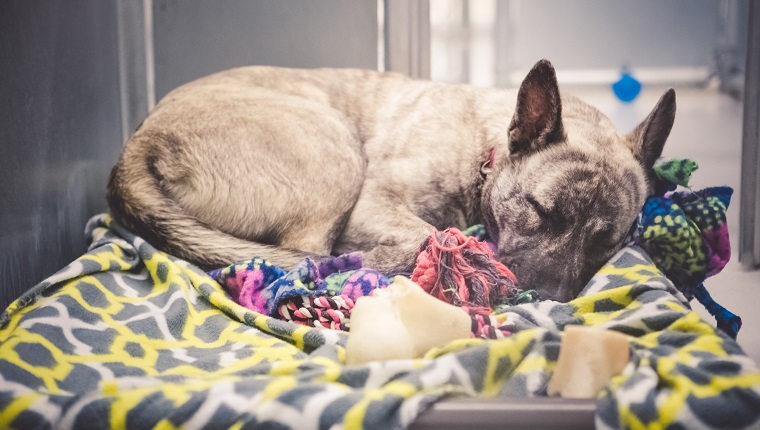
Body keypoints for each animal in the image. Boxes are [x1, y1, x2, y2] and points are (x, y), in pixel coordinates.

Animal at [108, 59, 676, 302]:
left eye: (607, 243)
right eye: (539, 211)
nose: (553, 298)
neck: (485, 149)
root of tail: (138, 145)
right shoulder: (373, 203)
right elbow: (428, 233)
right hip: (335, 147)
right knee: (309, 259)